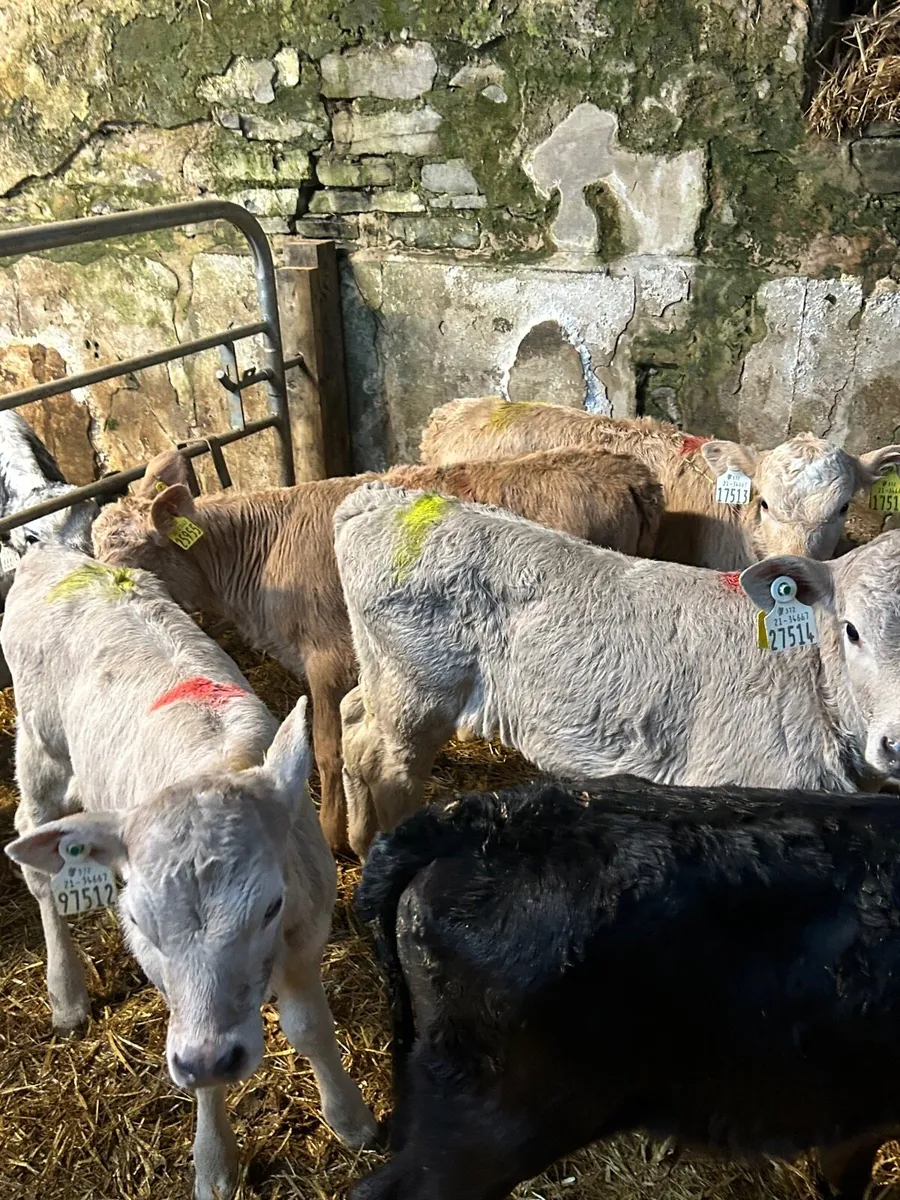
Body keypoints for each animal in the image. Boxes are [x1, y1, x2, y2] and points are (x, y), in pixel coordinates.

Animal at [2, 546, 376, 1200]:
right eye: (138, 924)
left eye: (270, 907)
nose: (210, 1058)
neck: (208, 761)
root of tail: (51, 552)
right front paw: (214, 1162)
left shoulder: (308, 924)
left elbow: (309, 1028)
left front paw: (350, 1118)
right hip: (39, 745)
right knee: (38, 853)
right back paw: (66, 993)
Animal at [334, 482, 900, 851]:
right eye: (851, 630)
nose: (897, 742)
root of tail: (389, 497)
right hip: (416, 689)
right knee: (386, 763)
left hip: (381, 673)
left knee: (352, 718)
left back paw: (353, 837)